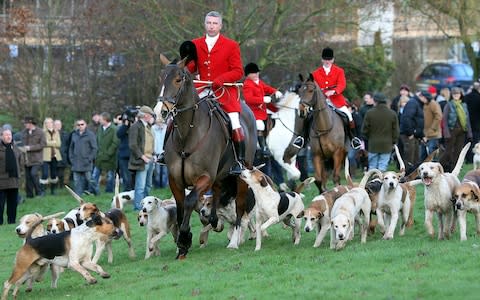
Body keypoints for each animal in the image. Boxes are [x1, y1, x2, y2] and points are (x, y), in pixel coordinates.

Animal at [157, 55, 255, 258]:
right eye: (160, 78)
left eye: (178, 80)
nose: (161, 111)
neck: (187, 134)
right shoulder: (174, 180)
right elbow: (180, 206)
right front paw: (182, 244)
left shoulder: (204, 178)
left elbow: (189, 201)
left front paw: (184, 238)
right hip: (219, 175)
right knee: (217, 193)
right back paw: (215, 220)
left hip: (242, 175)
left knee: (240, 208)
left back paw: (234, 241)